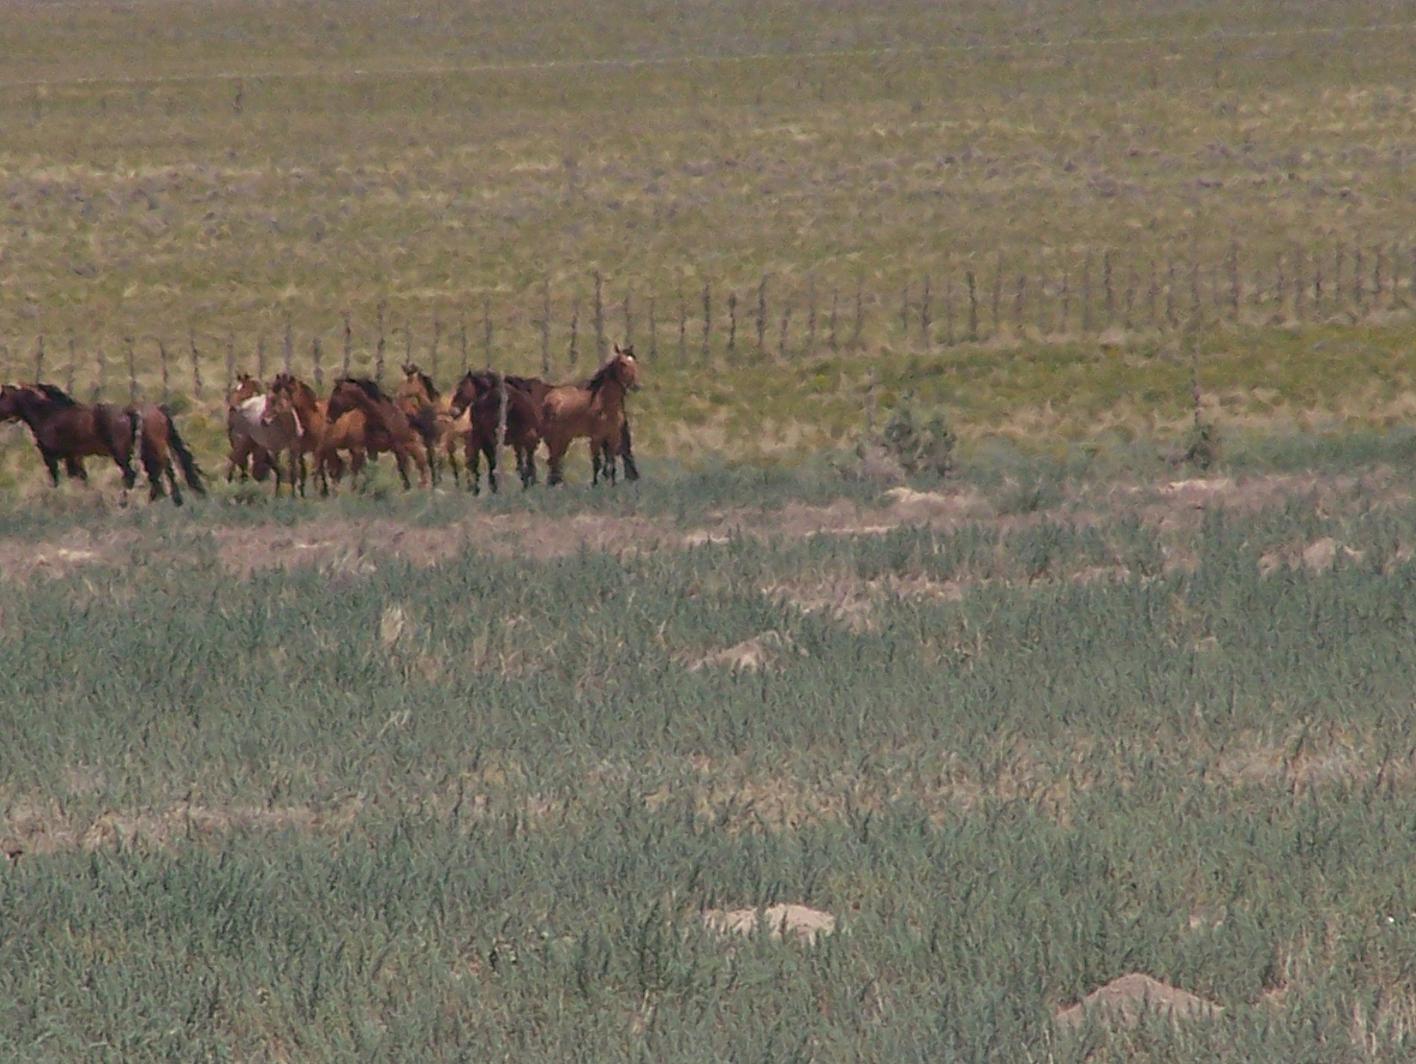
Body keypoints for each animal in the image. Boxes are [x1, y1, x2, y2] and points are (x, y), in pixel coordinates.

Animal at [538, 345, 640, 487]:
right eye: (622, 363)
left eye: (635, 362)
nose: (636, 386)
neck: (605, 405)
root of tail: (549, 397)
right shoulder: (596, 438)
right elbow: (597, 463)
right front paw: (595, 485)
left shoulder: (613, 436)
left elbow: (611, 463)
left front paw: (612, 484)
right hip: (553, 437)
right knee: (554, 460)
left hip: (565, 437)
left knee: (557, 460)